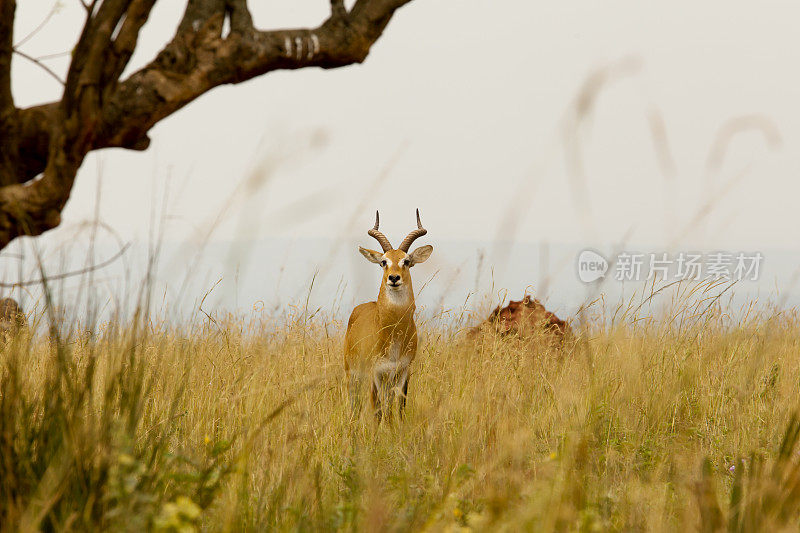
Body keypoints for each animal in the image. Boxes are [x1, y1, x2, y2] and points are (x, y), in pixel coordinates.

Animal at [344, 210, 432, 422]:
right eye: (384, 262)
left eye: (406, 261)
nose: (393, 278)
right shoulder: (375, 372)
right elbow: (376, 410)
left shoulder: (403, 371)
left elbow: (399, 407)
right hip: (352, 375)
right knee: (354, 405)